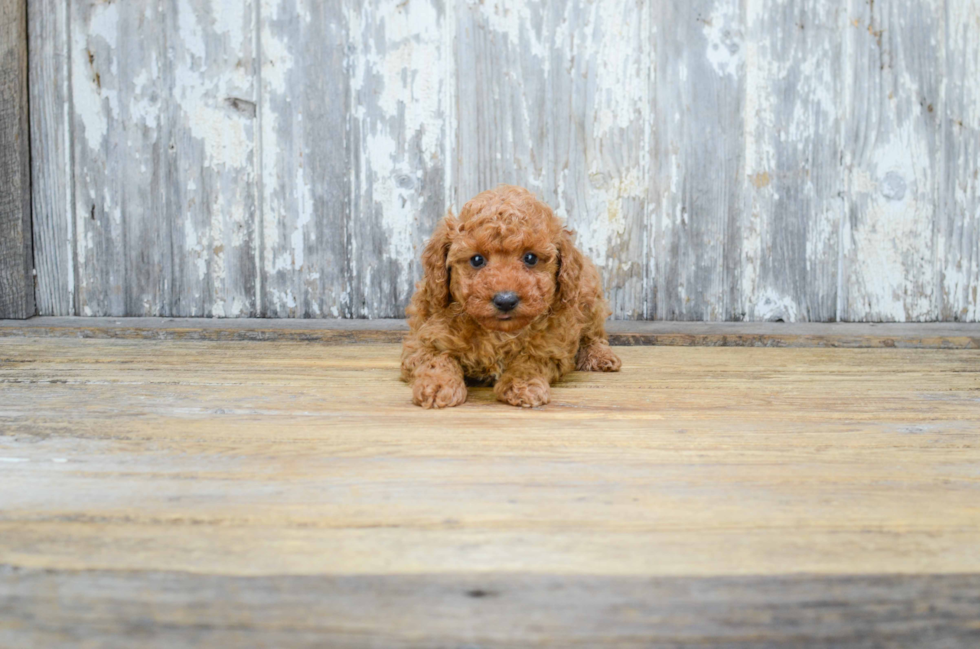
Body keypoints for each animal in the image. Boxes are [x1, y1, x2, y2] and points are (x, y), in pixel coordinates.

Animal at [400, 184, 620, 404]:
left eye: (530, 258)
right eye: (477, 260)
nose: (505, 301)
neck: (499, 333)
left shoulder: (552, 348)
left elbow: (530, 360)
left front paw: (523, 384)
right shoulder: (420, 340)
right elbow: (436, 358)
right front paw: (437, 385)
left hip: (588, 295)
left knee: (594, 334)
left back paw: (599, 356)